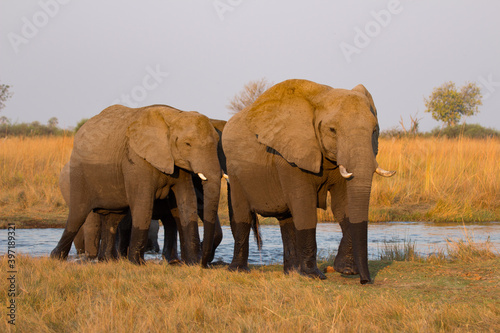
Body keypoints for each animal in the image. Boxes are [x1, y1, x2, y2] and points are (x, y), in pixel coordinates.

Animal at [51, 104, 222, 264]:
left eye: (217, 143)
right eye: (187, 144)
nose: (204, 261)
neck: (174, 115)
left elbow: (187, 201)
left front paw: (193, 263)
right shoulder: (137, 159)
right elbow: (143, 202)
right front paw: (137, 263)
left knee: (113, 219)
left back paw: (107, 260)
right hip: (79, 174)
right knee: (78, 215)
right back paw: (58, 257)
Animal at [223, 78, 394, 282]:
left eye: (375, 130)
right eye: (332, 130)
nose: (365, 280)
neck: (321, 97)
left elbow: (342, 206)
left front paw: (345, 269)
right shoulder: (289, 156)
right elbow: (305, 206)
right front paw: (314, 276)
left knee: (287, 220)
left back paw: (291, 272)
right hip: (234, 171)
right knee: (242, 215)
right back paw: (238, 271)